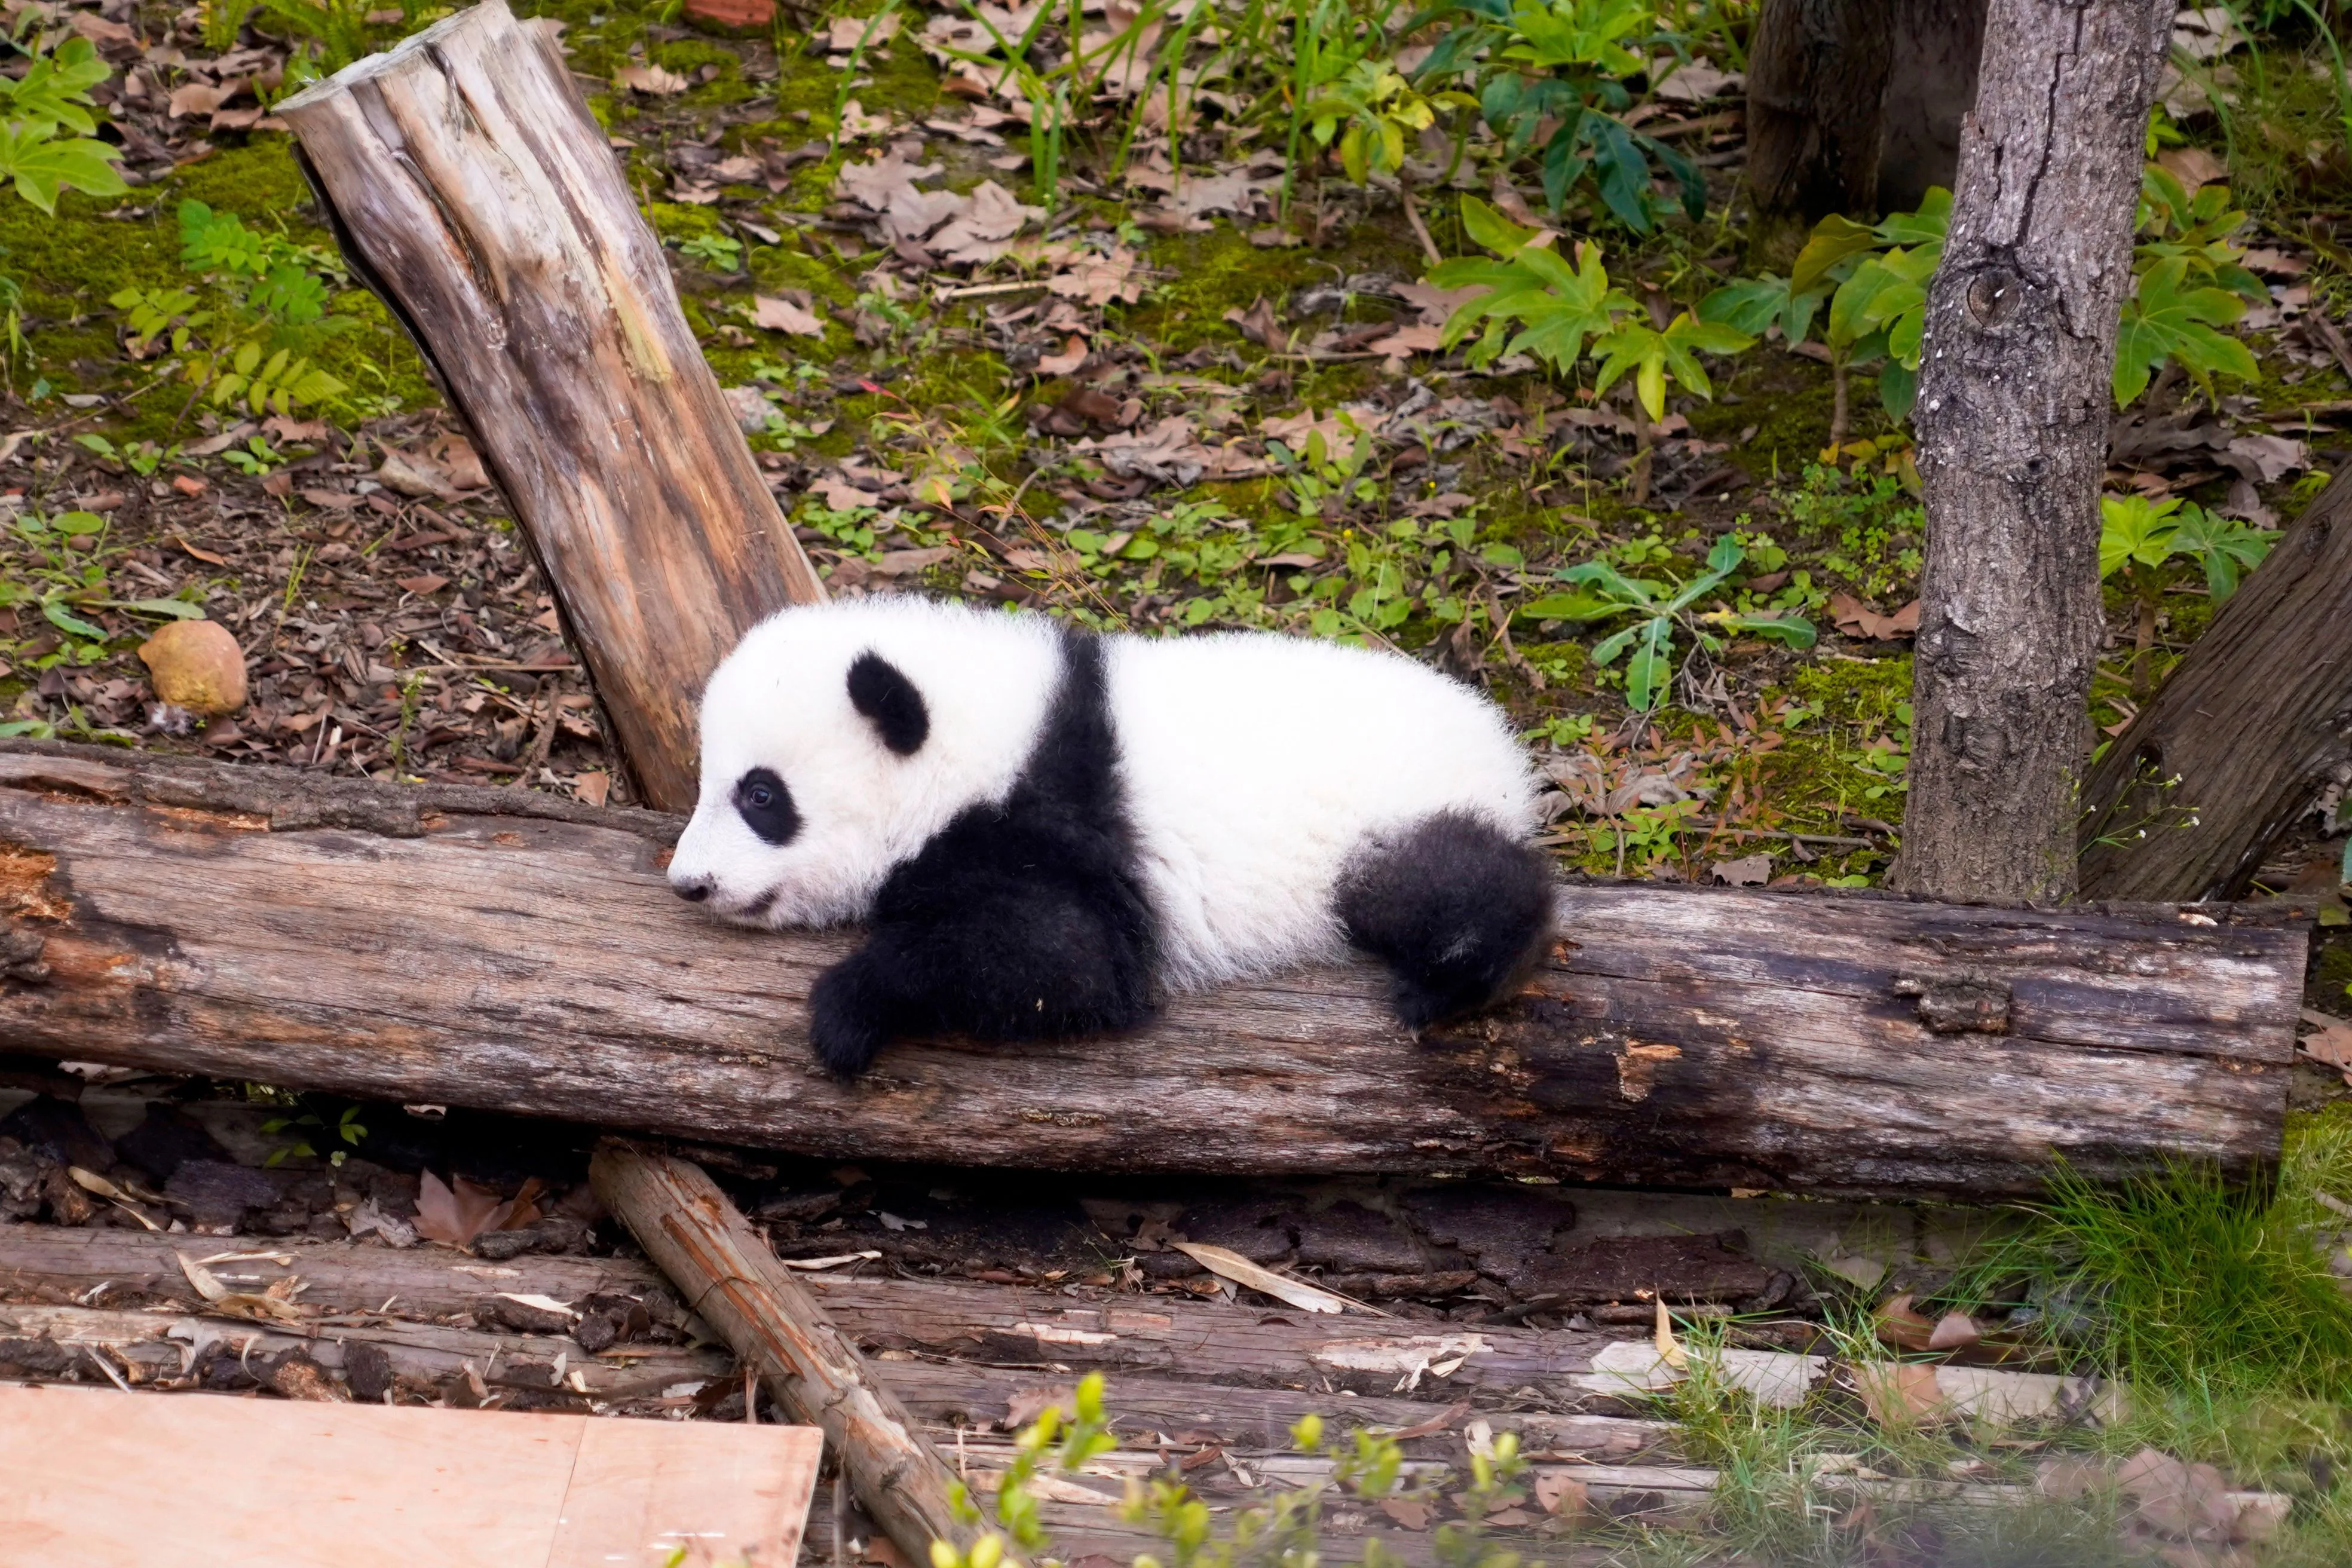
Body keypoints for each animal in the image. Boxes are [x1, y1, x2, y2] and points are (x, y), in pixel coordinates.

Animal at [667, 595, 1556, 1077]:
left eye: (760, 795)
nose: (691, 883)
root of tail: (1504, 753)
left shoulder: (1058, 820)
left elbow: (1062, 960)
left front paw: (848, 1009)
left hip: (1388, 821)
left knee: (1444, 887)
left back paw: (1454, 978)